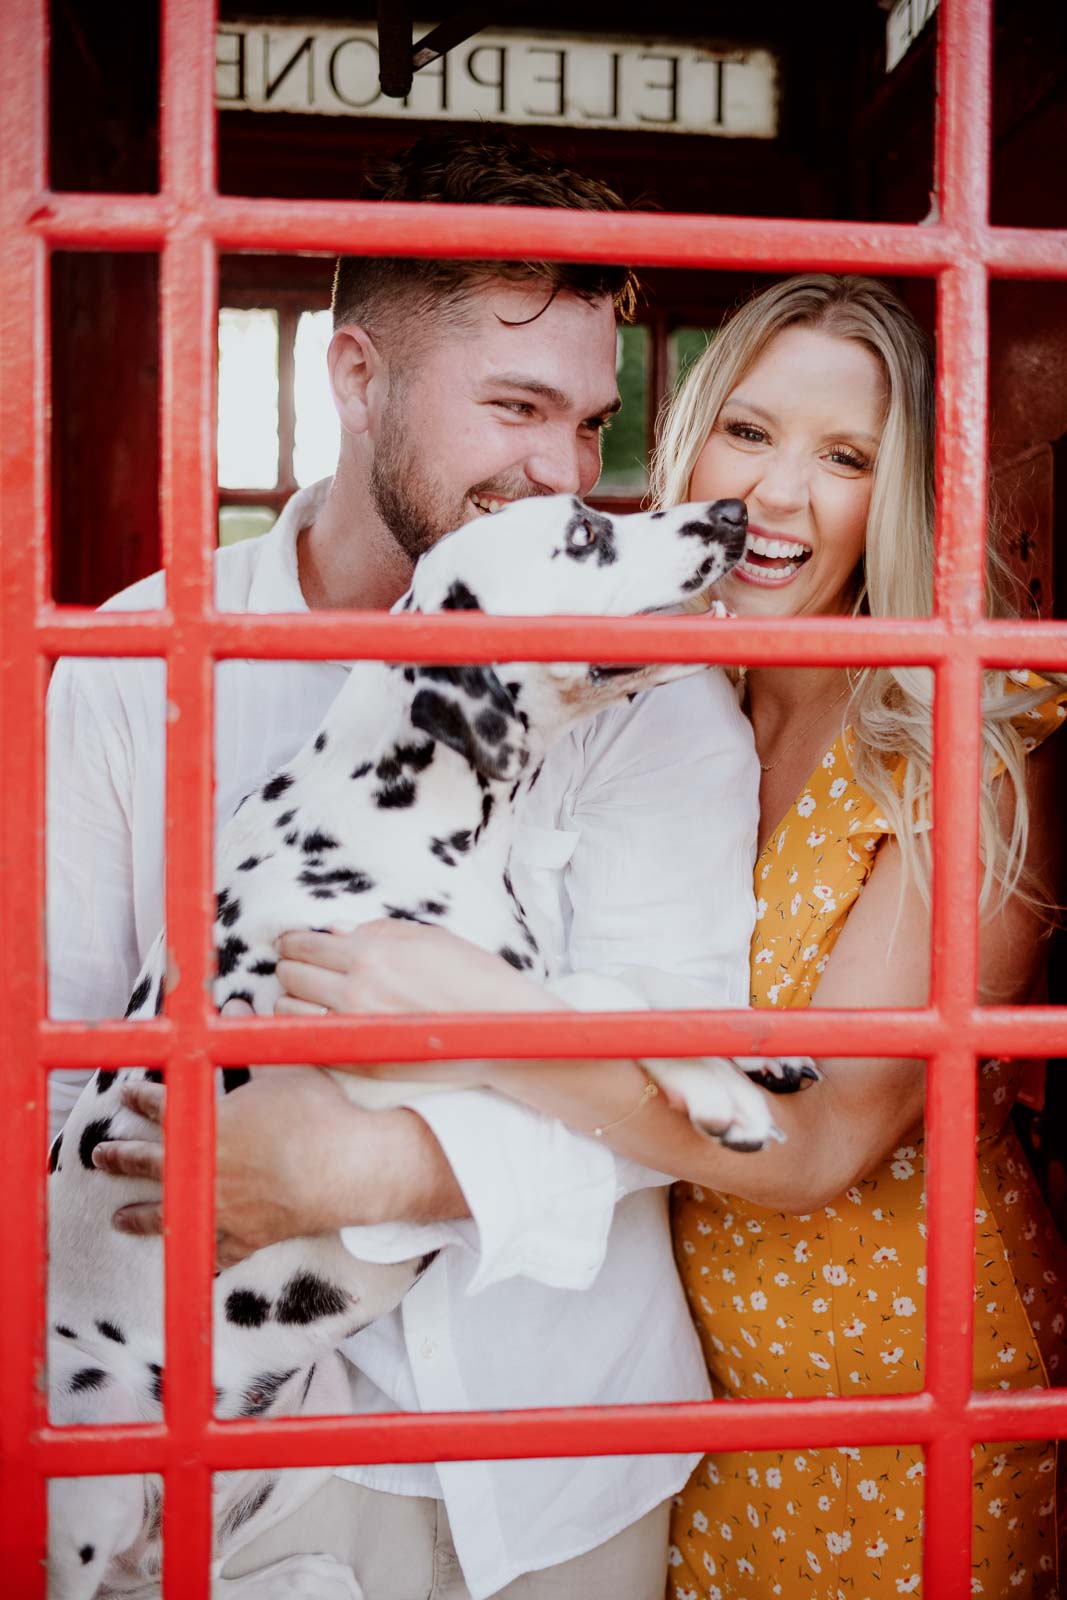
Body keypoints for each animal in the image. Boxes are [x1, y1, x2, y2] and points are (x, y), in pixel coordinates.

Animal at [43, 492, 809, 1593]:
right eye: (582, 536)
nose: (730, 510)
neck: (384, 813)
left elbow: (619, 980)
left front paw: (754, 1047)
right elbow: (581, 1001)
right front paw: (716, 1089)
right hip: (93, 1452)